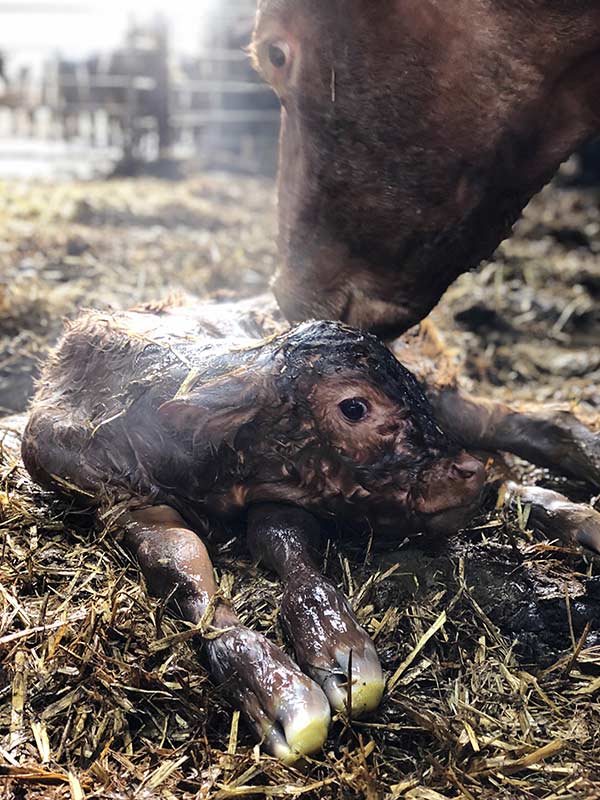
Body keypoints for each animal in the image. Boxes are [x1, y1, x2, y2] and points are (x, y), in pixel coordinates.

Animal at [22, 296, 600, 760]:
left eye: (407, 390)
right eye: (354, 407)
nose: (463, 472)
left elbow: (285, 547)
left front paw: (339, 650)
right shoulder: (121, 498)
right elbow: (184, 563)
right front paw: (277, 686)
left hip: (455, 400)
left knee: (528, 422)